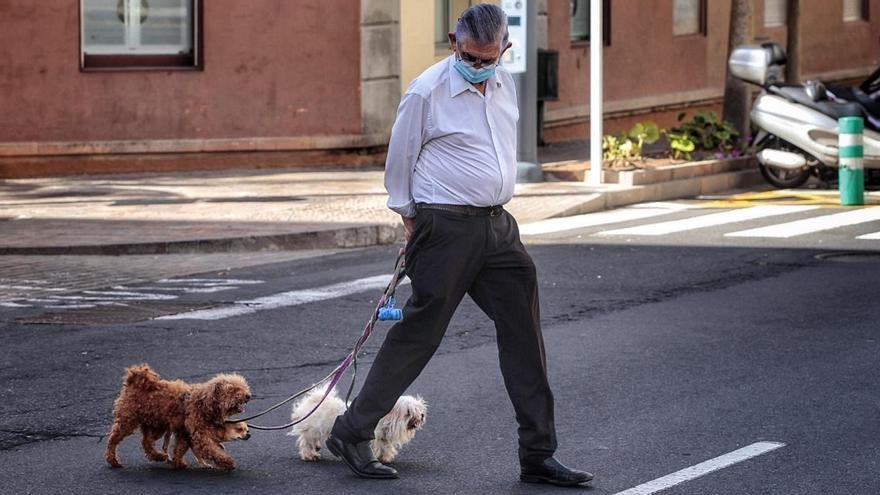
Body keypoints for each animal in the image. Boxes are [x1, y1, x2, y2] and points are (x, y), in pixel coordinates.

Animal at [288, 386, 426, 464]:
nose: (422, 415)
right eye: (408, 412)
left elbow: (385, 447)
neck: (385, 419)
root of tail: (314, 401)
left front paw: (385, 458)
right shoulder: (375, 437)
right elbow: (377, 447)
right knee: (306, 442)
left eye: (419, 409)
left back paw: (316, 448)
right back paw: (310, 455)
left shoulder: (383, 438)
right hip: (312, 430)